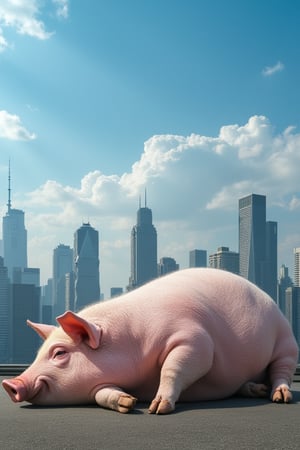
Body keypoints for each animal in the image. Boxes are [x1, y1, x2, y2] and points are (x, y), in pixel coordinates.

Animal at [1, 268, 298, 414]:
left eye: (60, 353)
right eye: (38, 353)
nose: (10, 383)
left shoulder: (193, 339)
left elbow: (174, 367)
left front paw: (157, 408)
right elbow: (100, 393)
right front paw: (128, 403)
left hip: (286, 341)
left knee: (281, 369)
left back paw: (278, 396)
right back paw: (256, 389)